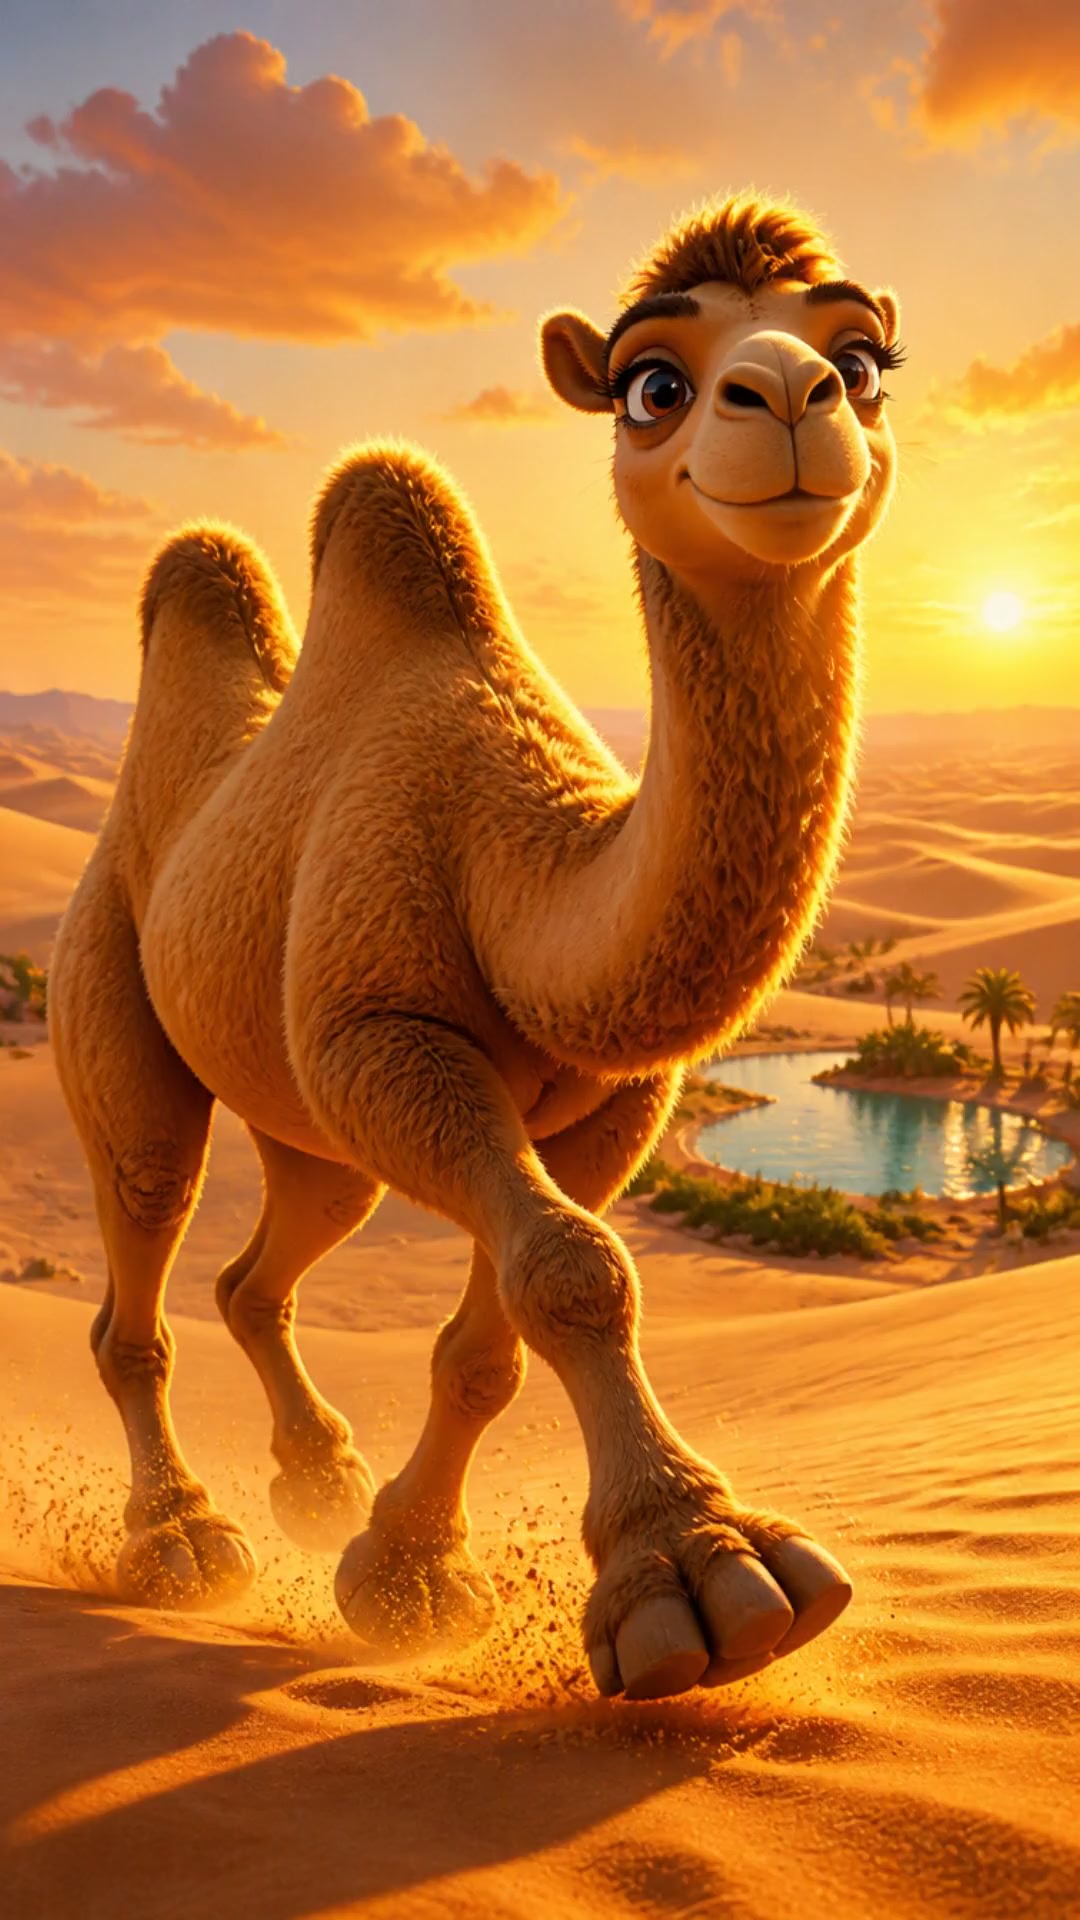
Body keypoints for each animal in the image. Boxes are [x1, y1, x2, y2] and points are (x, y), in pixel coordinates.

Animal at [49, 191, 902, 1701]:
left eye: (863, 359)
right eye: (651, 384)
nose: (793, 399)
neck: (519, 861)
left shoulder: (616, 1104)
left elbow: (494, 1334)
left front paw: (403, 1578)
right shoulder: (385, 1033)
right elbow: (573, 1271)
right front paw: (703, 1579)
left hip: (312, 1127)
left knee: (265, 1265)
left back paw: (314, 1479)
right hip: (109, 978)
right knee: (140, 1236)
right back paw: (180, 1543)